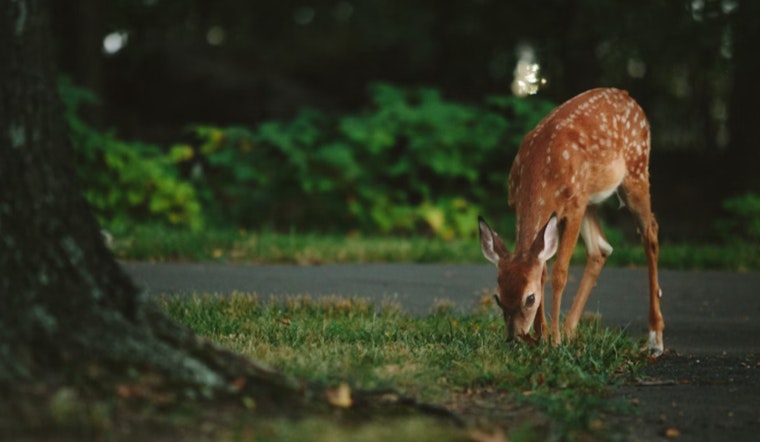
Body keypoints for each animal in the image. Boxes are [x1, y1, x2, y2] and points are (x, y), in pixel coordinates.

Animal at [478, 88, 664, 356]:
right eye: (498, 298)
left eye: (530, 298)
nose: (515, 337)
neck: (541, 173)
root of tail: (628, 97)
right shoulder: (522, 204)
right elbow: (542, 269)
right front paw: (543, 336)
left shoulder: (574, 207)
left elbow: (559, 272)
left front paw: (553, 340)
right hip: (591, 198)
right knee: (601, 249)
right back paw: (569, 330)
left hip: (636, 171)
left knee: (650, 232)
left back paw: (655, 339)